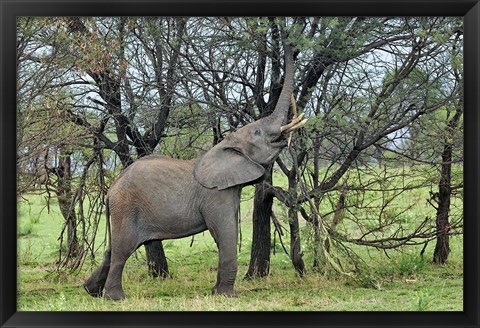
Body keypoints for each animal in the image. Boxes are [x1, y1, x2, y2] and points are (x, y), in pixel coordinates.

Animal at [84, 43, 306, 300]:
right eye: (258, 132)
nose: (289, 43)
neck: (225, 145)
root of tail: (111, 191)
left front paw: (217, 292)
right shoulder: (216, 194)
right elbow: (226, 232)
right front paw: (226, 295)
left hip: (122, 211)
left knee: (112, 250)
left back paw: (90, 291)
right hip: (127, 207)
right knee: (122, 251)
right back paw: (116, 298)